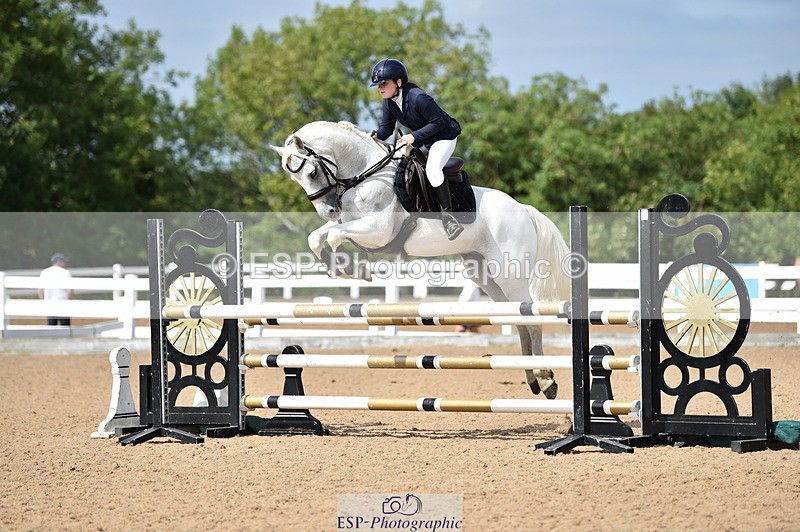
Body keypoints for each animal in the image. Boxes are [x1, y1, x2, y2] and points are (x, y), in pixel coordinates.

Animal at [270, 121, 570, 399]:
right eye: (296, 179)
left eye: (312, 172)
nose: (330, 211)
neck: (366, 174)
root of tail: (523, 209)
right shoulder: (352, 226)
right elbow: (318, 237)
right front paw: (341, 267)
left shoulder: (378, 231)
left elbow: (333, 236)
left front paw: (353, 268)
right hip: (487, 276)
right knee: (519, 321)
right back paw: (532, 377)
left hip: (510, 275)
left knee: (532, 321)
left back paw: (546, 380)